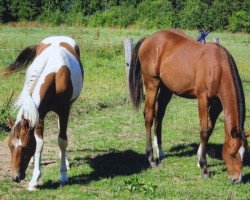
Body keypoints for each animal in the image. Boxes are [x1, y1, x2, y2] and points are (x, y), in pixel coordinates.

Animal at [4, 36, 83, 191]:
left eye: (25, 147)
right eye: (10, 145)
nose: (15, 177)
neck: (55, 75)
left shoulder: (64, 111)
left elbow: (62, 141)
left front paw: (63, 175)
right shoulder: (39, 115)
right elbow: (39, 143)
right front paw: (34, 179)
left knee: (62, 134)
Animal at [129, 28, 248, 184]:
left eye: (245, 153)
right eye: (233, 153)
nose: (236, 179)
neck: (218, 67)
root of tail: (148, 39)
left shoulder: (217, 104)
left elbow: (210, 129)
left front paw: (199, 158)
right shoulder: (203, 99)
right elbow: (204, 130)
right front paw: (204, 167)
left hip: (167, 88)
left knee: (159, 115)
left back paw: (159, 151)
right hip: (152, 84)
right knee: (149, 116)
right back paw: (151, 159)